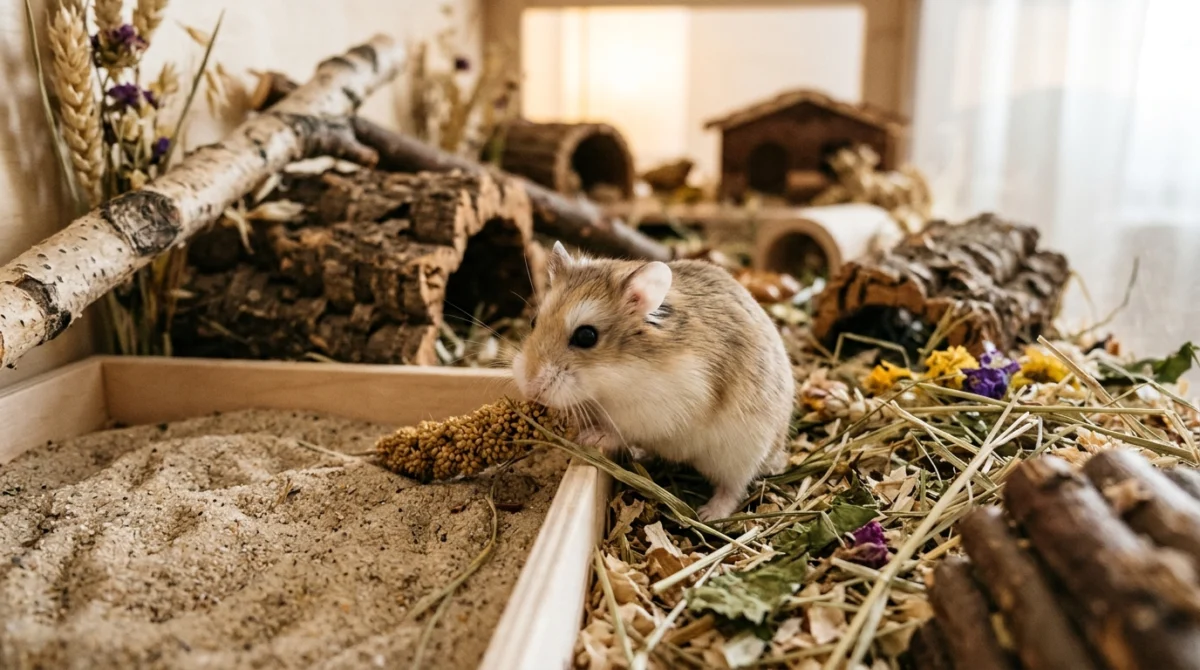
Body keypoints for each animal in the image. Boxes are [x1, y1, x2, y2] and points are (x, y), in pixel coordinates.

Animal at [512, 241, 796, 521]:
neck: (616, 378)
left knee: (734, 488)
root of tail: (778, 449)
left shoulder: (659, 411)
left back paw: (708, 514)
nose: (529, 388)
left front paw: (589, 436)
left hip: (741, 455)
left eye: (586, 336)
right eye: (533, 322)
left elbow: (621, 430)